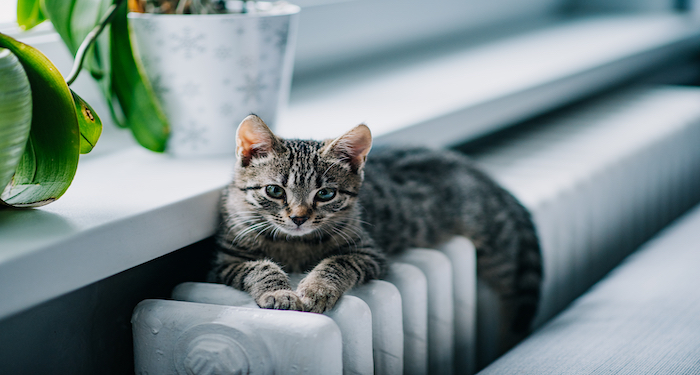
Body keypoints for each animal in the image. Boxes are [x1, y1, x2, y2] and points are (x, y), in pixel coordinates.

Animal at [211, 114, 544, 338]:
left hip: (499, 253)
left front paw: (317, 288)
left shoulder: (369, 252)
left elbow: (338, 262)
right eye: (274, 191)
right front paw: (280, 292)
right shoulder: (226, 262)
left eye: (326, 194)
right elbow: (259, 267)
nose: (299, 218)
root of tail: (476, 169)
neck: (294, 244)